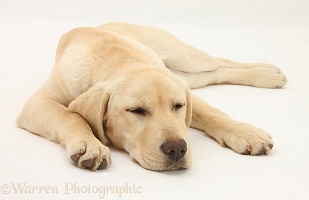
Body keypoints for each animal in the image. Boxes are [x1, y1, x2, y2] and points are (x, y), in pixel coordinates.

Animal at [17, 22, 286, 171]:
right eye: (136, 111)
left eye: (178, 106)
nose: (177, 150)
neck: (117, 59)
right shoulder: (37, 102)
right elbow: (71, 117)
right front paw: (89, 144)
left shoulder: (183, 90)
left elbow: (213, 112)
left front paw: (244, 132)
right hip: (188, 72)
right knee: (216, 73)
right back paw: (270, 74)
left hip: (182, 57)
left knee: (219, 62)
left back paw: (269, 73)